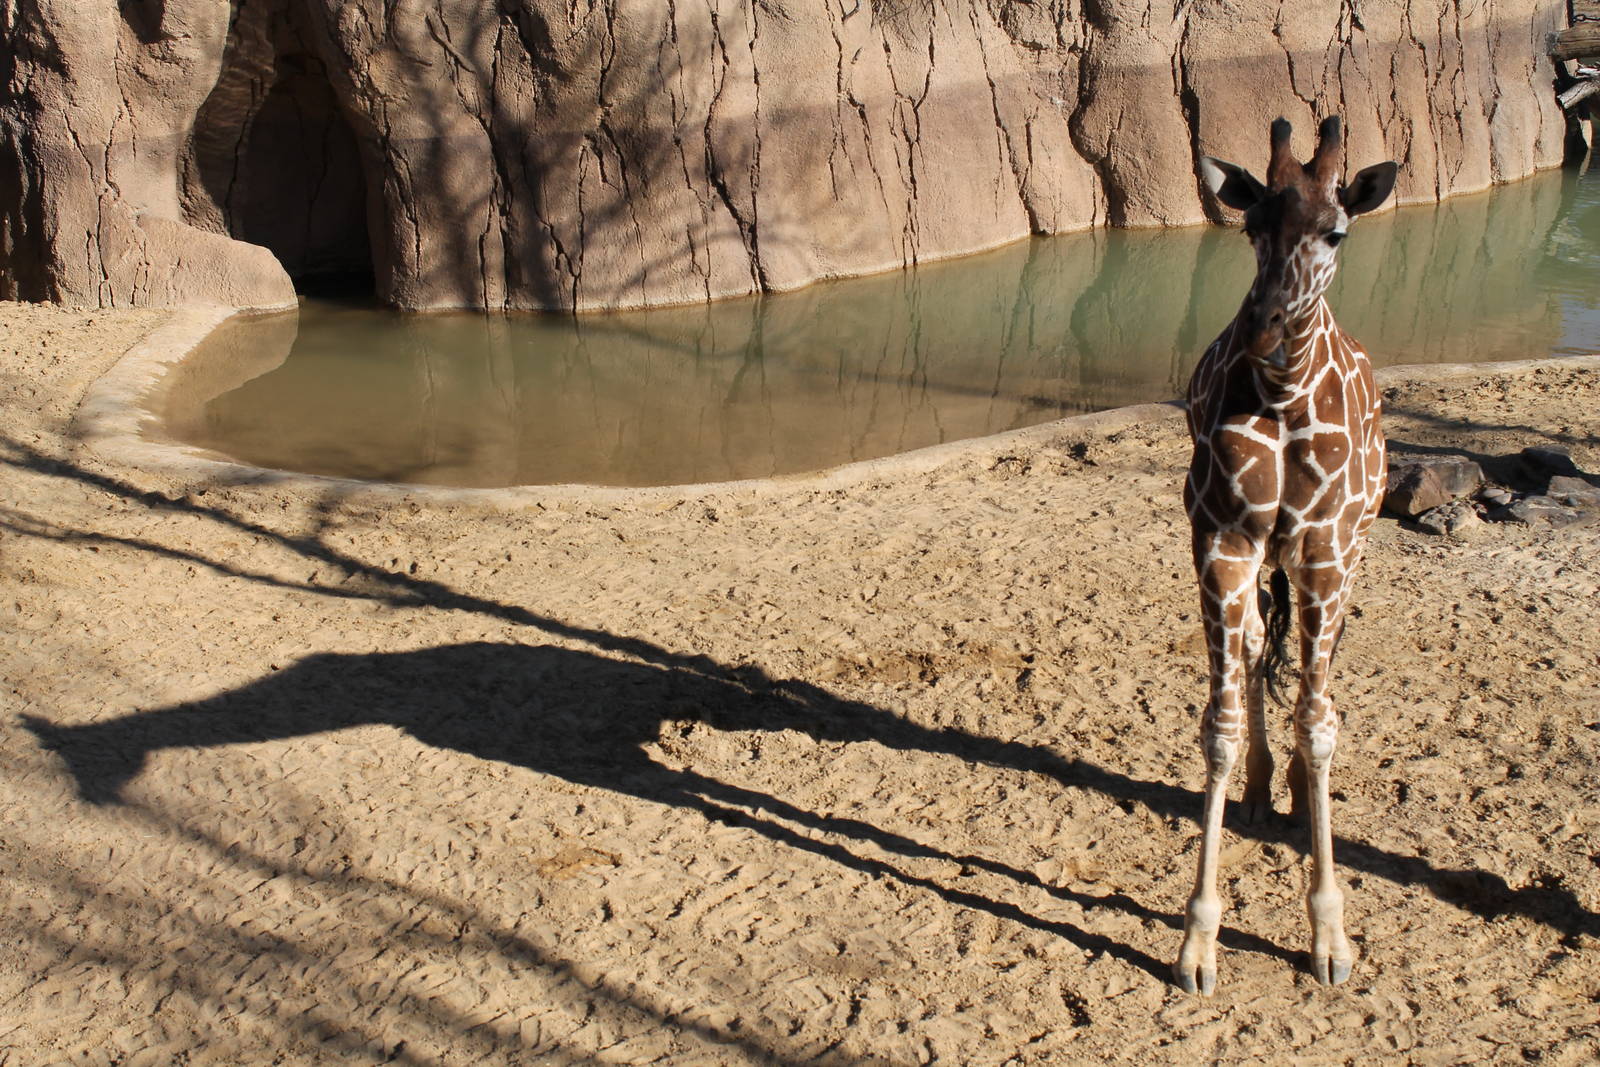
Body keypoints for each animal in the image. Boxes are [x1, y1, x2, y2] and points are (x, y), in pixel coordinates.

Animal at [1172, 116, 1397, 995]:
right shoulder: (1222, 542)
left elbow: (1319, 718)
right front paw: (1199, 939)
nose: (1263, 326)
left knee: (1314, 677)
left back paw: (1300, 791)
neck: (1282, 392)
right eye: (1252, 226)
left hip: (1347, 551)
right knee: (1264, 651)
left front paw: (1329, 934)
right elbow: (1221, 724)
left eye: (1336, 230)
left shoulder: (1326, 550)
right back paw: (1268, 787)